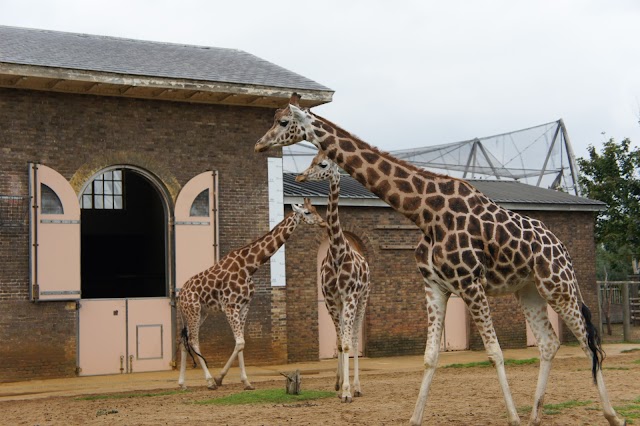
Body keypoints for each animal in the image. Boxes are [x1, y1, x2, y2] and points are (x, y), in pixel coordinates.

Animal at [176, 198, 324, 392]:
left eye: (315, 209)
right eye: (307, 212)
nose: (322, 222)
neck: (249, 267)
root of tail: (180, 295)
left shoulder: (244, 306)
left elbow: (240, 343)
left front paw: (246, 382)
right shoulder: (230, 306)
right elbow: (240, 342)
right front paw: (219, 378)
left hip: (199, 313)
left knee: (183, 341)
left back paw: (182, 383)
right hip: (193, 311)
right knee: (193, 340)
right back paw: (208, 381)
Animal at [298, 151, 372, 402]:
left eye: (322, 164)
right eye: (310, 160)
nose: (300, 176)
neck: (338, 252)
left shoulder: (350, 297)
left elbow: (348, 343)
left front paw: (348, 391)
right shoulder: (331, 299)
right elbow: (340, 343)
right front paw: (339, 384)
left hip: (362, 300)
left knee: (356, 337)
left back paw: (358, 386)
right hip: (341, 304)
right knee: (343, 338)